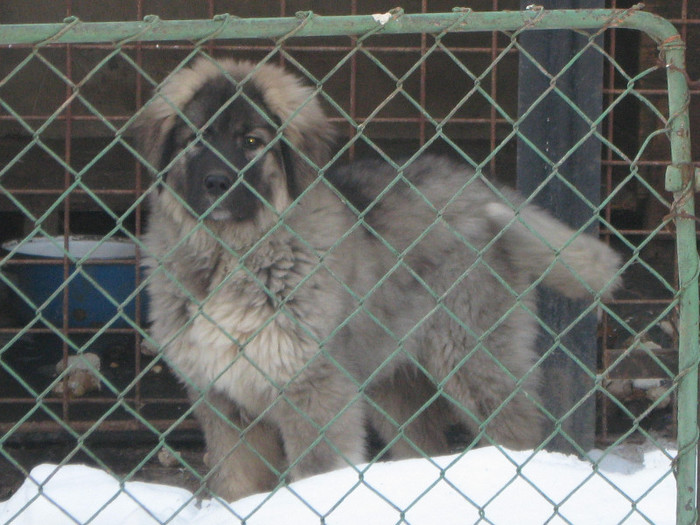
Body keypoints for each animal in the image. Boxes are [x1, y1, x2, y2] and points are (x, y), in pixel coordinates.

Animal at [134, 57, 620, 500]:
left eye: (252, 141)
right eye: (196, 140)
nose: (217, 182)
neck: (229, 255)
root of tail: (484, 191)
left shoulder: (314, 391)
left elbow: (316, 472)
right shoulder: (223, 402)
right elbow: (238, 483)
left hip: (472, 354)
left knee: (514, 429)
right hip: (393, 382)